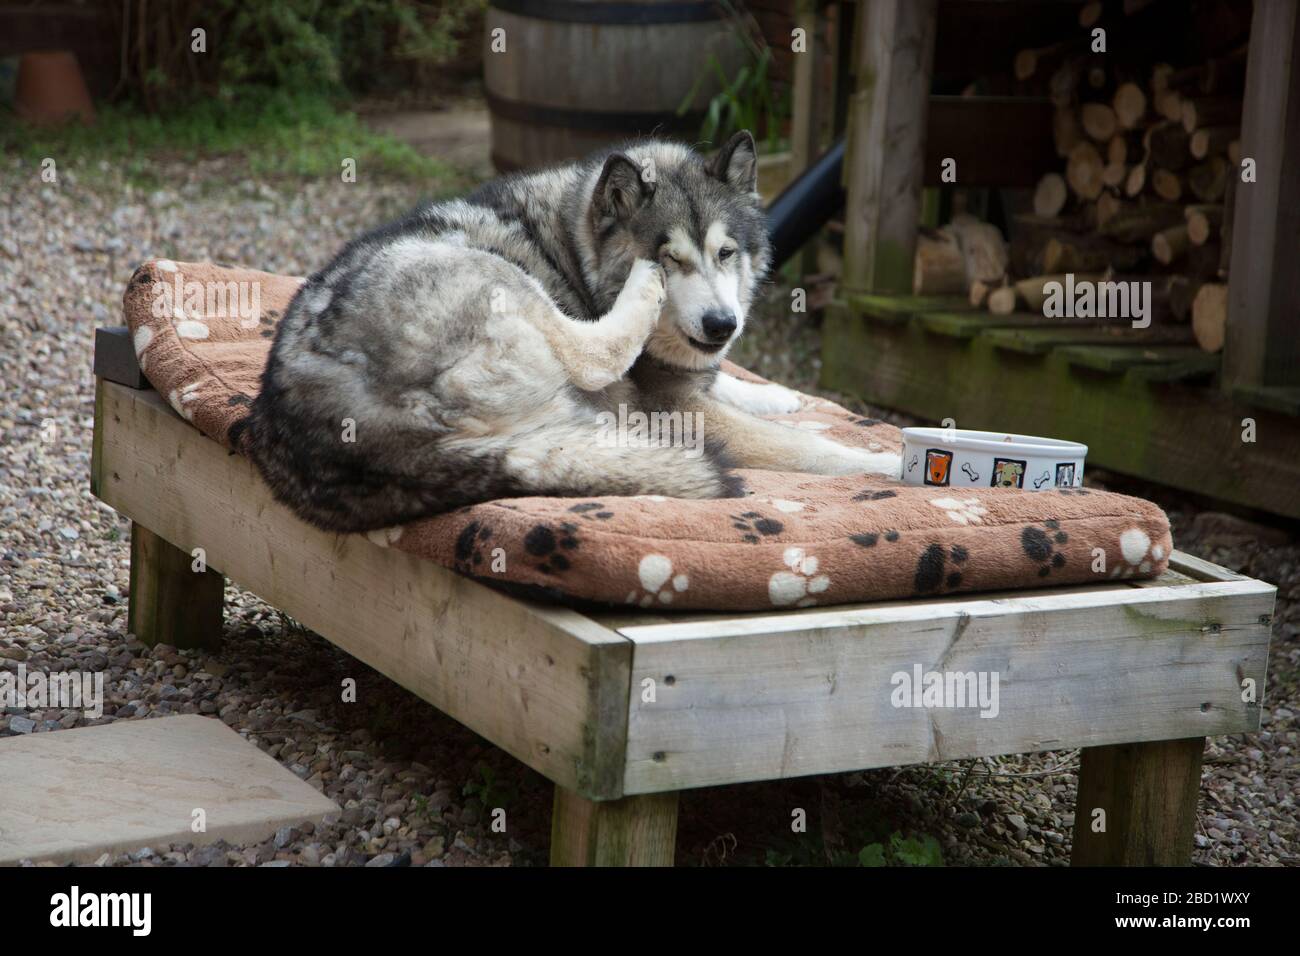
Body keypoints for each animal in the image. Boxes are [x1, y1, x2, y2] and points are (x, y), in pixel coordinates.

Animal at [246, 131, 901, 533]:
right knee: (592, 356)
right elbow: (810, 448)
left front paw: (777, 394)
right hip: (490, 275)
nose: (723, 323)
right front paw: (889, 464)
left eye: (726, 253)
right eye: (672, 258)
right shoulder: (677, 409)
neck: (575, 246)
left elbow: (731, 384)